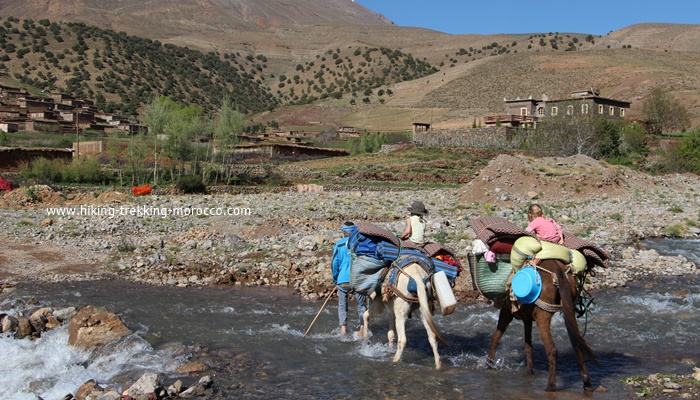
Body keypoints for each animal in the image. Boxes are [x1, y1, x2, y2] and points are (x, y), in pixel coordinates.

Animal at [486, 258, 596, 392]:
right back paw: (587, 383)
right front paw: (529, 372)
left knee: (552, 350)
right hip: (569, 309)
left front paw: (489, 365)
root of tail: (558, 270)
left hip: (542, 316)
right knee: (577, 345)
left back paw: (551, 386)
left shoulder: (506, 311)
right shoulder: (526, 319)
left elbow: (495, 338)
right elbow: (528, 346)